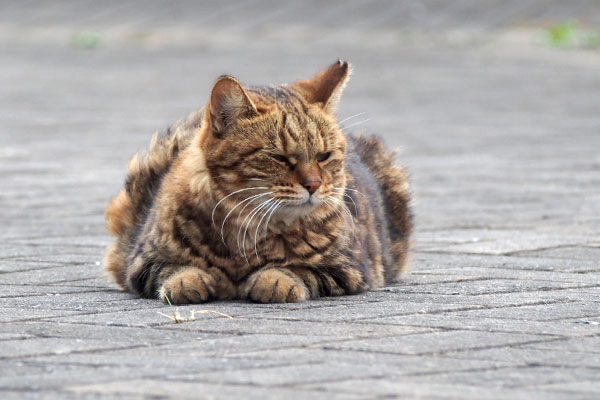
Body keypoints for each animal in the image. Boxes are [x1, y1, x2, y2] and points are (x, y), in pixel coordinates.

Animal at [103, 60, 412, 304]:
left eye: (324, 156)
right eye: (279, 158)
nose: (313, 184)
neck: (246, 227)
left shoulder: (348, 269)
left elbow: (298, 271)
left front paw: (272, 280)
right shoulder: (141, 262)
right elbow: (175, 268)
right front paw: (188, 280)